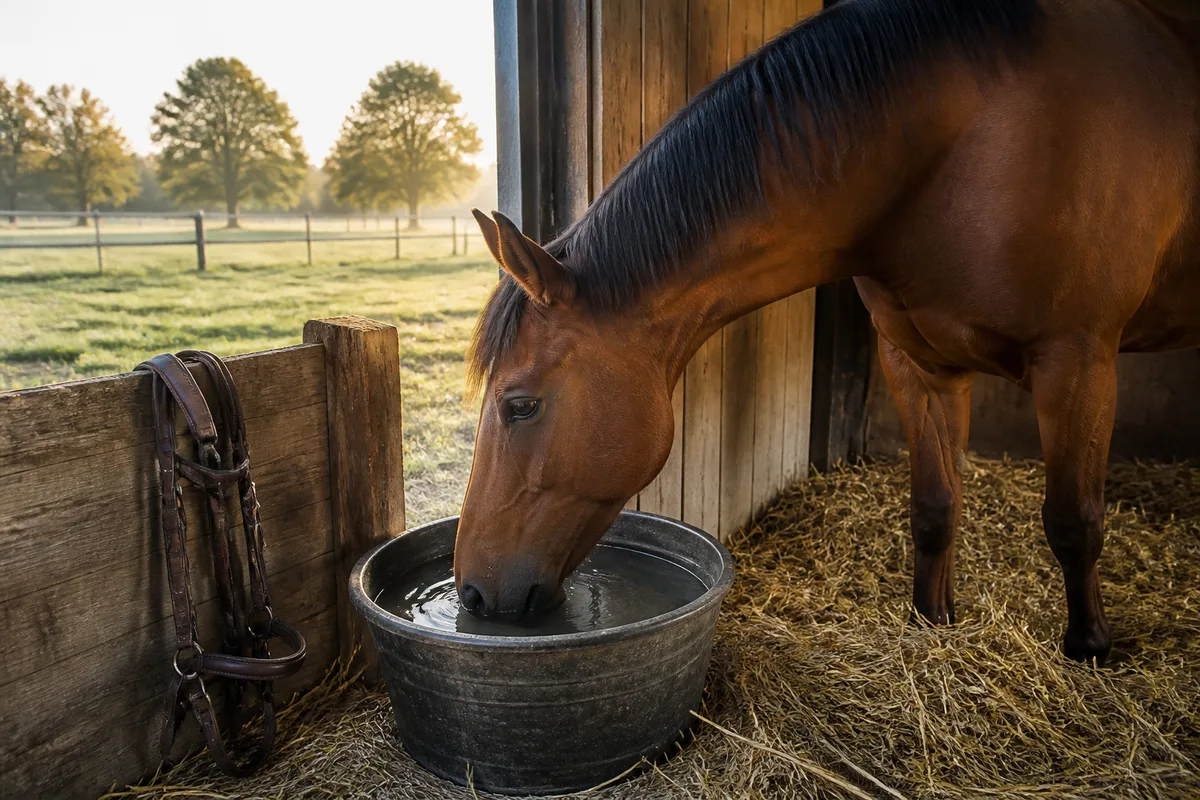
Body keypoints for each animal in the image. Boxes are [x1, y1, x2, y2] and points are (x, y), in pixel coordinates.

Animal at [454, 0, 1199, 665]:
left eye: (521, 406)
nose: (473, 594)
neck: (983, 139)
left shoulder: (1078, 362)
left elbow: (1075, 521)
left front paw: (1089, 648)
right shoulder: (919, 363)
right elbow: (935, 507)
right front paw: (931, 620)